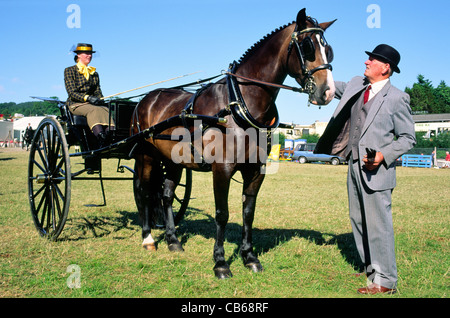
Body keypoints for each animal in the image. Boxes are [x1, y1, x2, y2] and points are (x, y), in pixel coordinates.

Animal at [130, 8, 334, 278]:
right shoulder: (222, 170)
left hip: (173, 162)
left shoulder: (255, 171)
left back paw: (173, 241)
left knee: (166, 195)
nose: (328, 91)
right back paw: (148, 239)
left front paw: (249, 257)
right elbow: (222, 213)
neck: (238, 104)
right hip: (146, 156)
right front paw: (220, 262)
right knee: (144, 192)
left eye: (328, 48)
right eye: (308, 46)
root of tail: (147, 99)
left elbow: (248, 212)